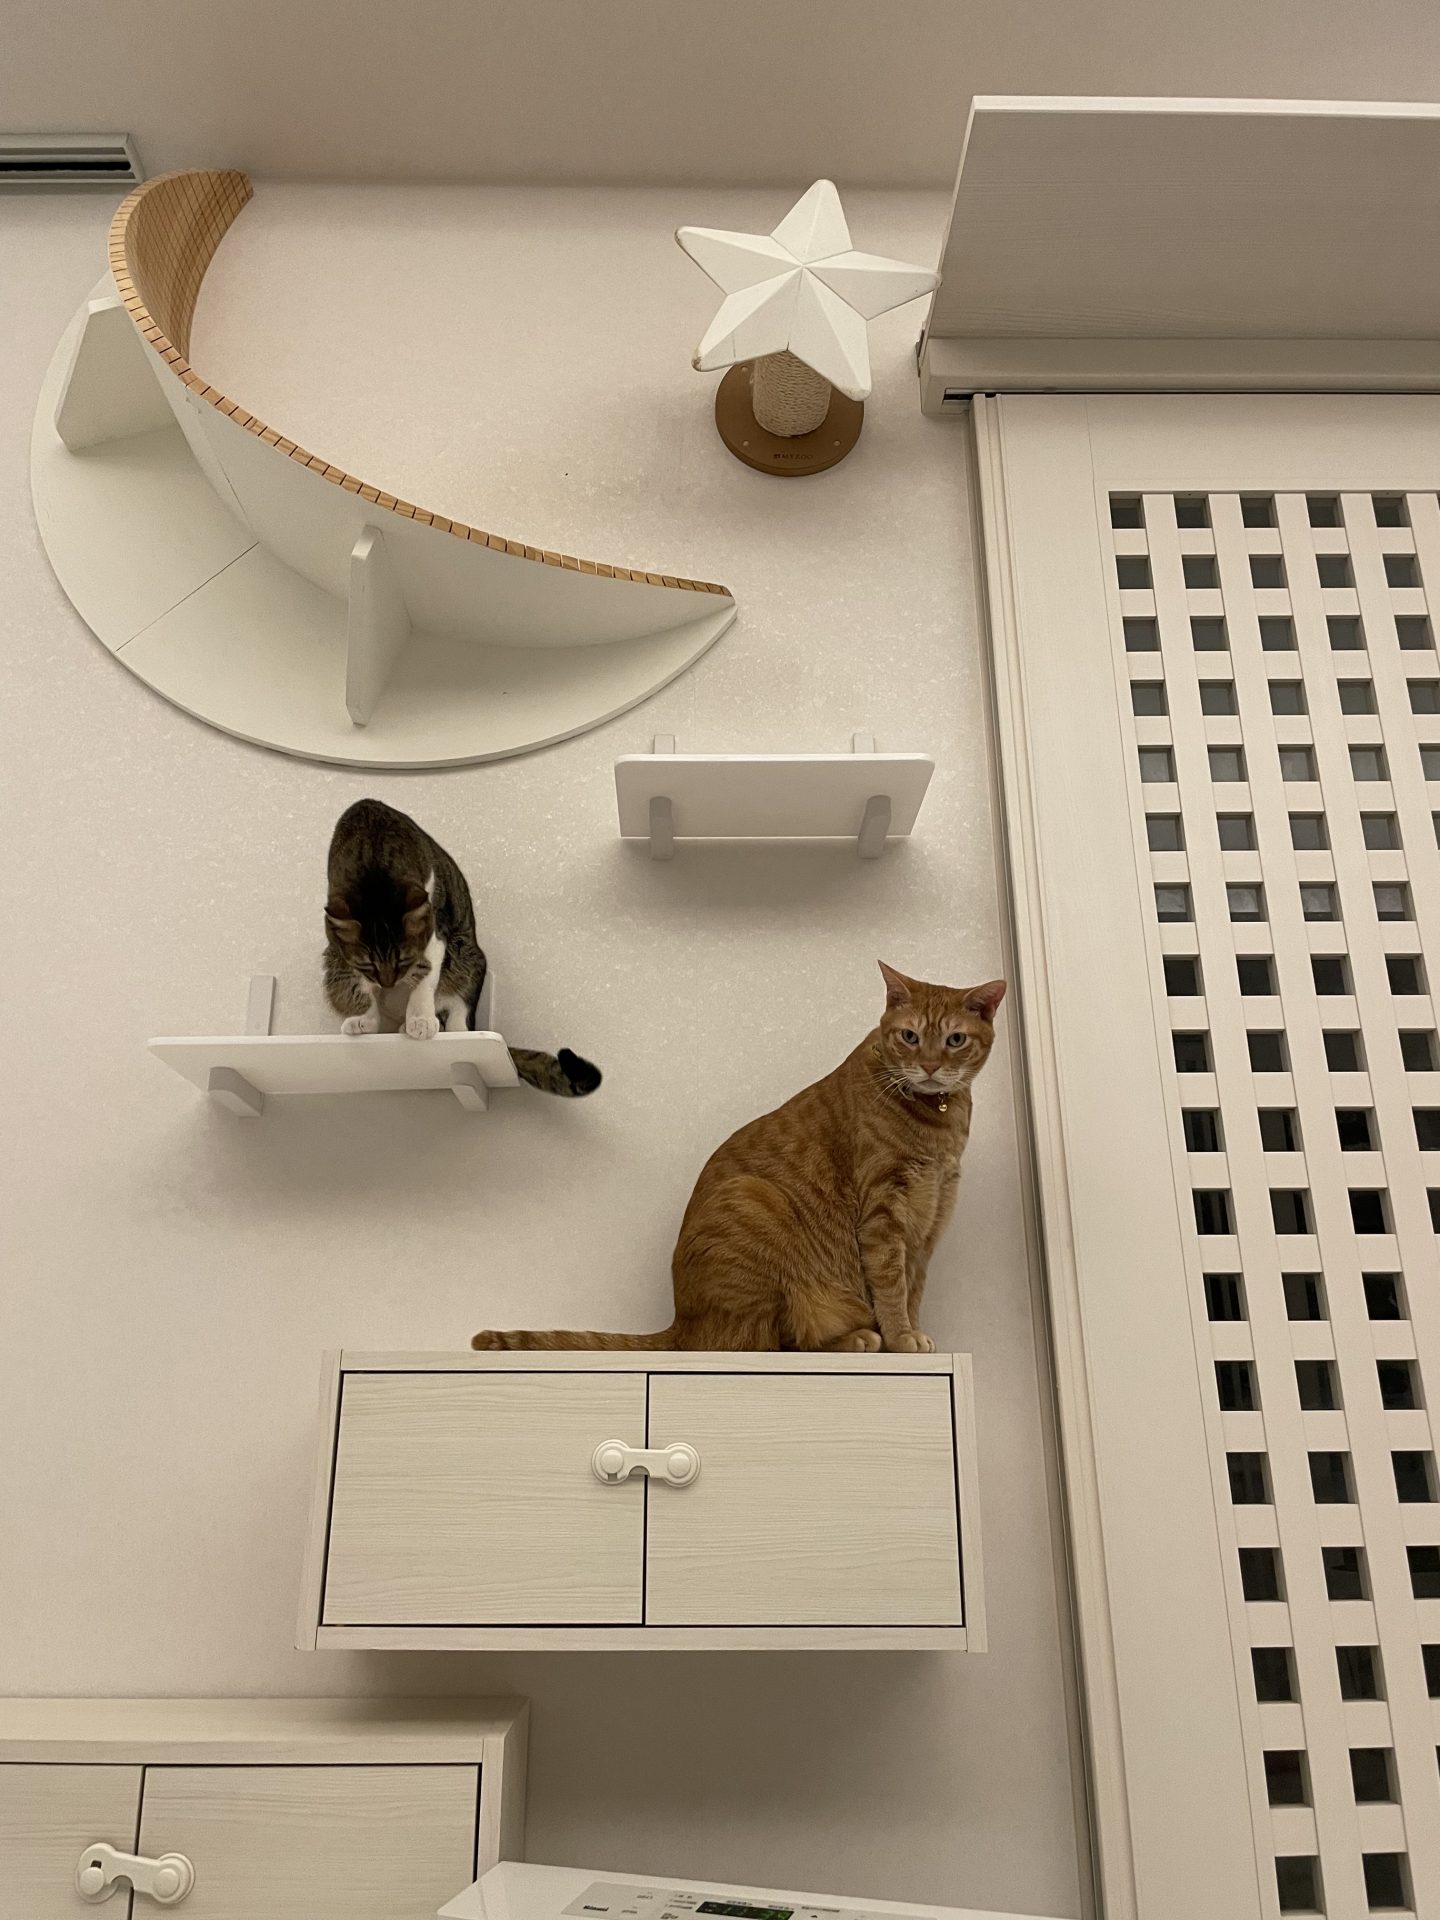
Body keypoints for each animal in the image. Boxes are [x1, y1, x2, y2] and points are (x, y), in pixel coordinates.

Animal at [323, 798, 601, 1098]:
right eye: (366, 964)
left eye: (405, 961)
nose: (388, 984)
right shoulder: (344, 950)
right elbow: (361, 986)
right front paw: (364, 1015)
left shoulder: (436, 930)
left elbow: (425, 980)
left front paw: (420, 1020)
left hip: (467, 958)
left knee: (458, 1012)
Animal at [473, 962, 1004, 1351]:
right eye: (909, 1036)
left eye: (954, 1040)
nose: (930, 1066)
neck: (937, 1120)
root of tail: (682, 1322)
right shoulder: (883, 1214)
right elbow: (890, 1284)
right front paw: (899, 1338)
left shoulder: (929, 1221)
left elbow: (912, 1287)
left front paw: (912, 1331)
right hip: (758, 1209)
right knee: (773, 1341)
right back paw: (860, 1339)